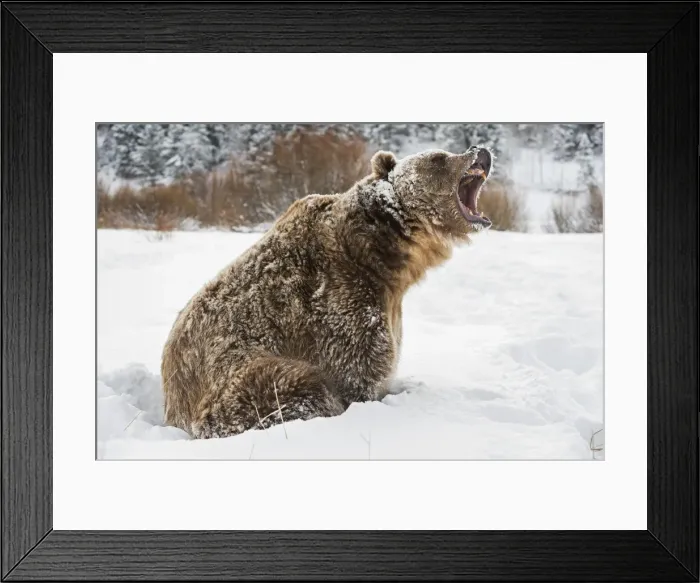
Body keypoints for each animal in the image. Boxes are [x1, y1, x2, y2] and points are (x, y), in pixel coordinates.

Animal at [161, 146, 493, 438]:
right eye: (439, 158)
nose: (480, 151)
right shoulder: (340, 299)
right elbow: (358, 370)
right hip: (235, 378)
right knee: (299, 386)